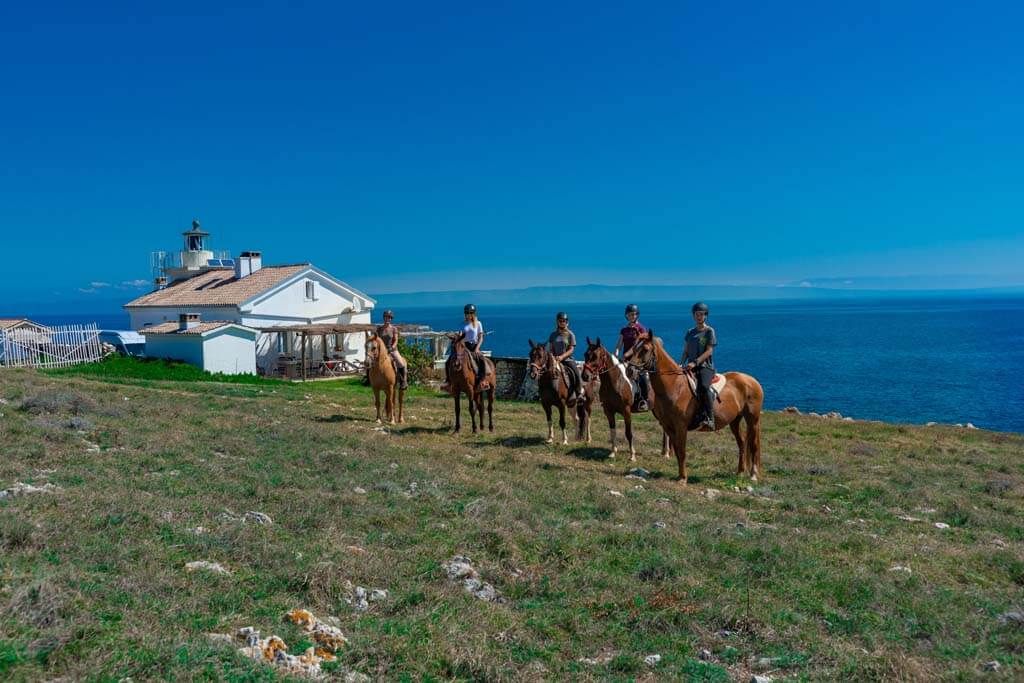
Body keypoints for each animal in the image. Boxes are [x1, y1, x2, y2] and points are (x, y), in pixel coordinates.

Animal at [625, 330, 764, 483]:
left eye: (645, 349)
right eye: (634, 348)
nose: (630, 371)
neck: (674, 385)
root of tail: (752, 381)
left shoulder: (681, 426)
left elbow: (682, 451)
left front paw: (683, 478)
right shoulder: (668, 426)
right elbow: (677, 451)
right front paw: (680, 476)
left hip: (752, 419)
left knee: (754, 445)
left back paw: (753, 475)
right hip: (735, 420)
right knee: (742, 443)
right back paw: (740, 472)